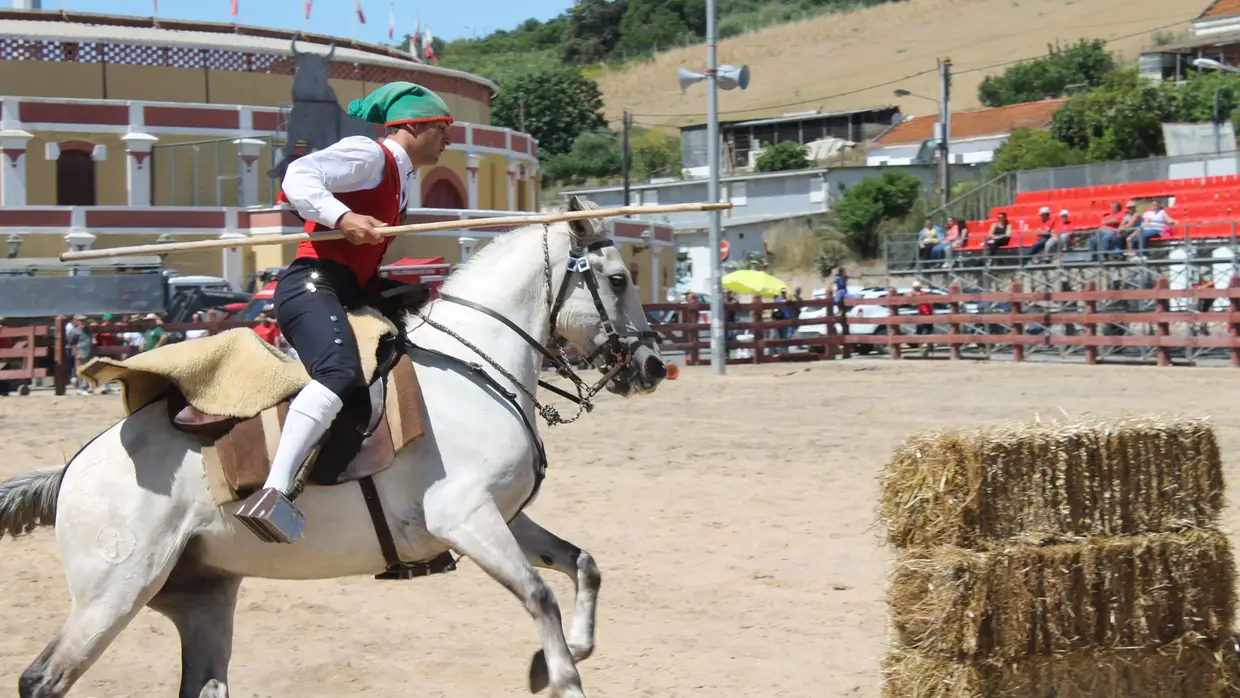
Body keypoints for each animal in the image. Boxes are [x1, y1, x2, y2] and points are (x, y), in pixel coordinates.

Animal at [0, 199, 669, 698]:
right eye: (617, 279)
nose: (653, 365)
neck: (475, 366)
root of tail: (75, 469)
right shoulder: (464, 518)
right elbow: (539, 595)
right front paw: (559, 674)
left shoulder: (503, 518)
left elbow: (582, 565)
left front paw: (557, 657)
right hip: (112, 594)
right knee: (41, 680)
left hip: (201, 595)